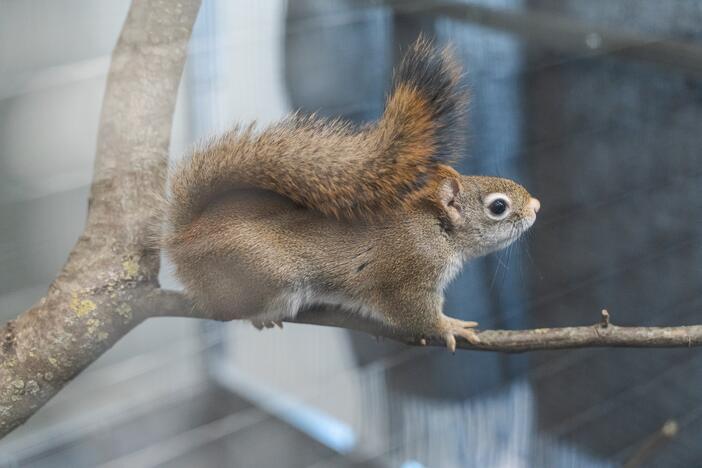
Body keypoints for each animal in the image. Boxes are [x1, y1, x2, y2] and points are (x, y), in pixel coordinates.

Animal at [164, 37, 540, 352]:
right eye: (498, 206)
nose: (536, 206)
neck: (435, 226)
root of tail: (184, 238)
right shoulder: (408, 276)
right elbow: (415, 313)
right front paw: (450, 326)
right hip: (261, 274)